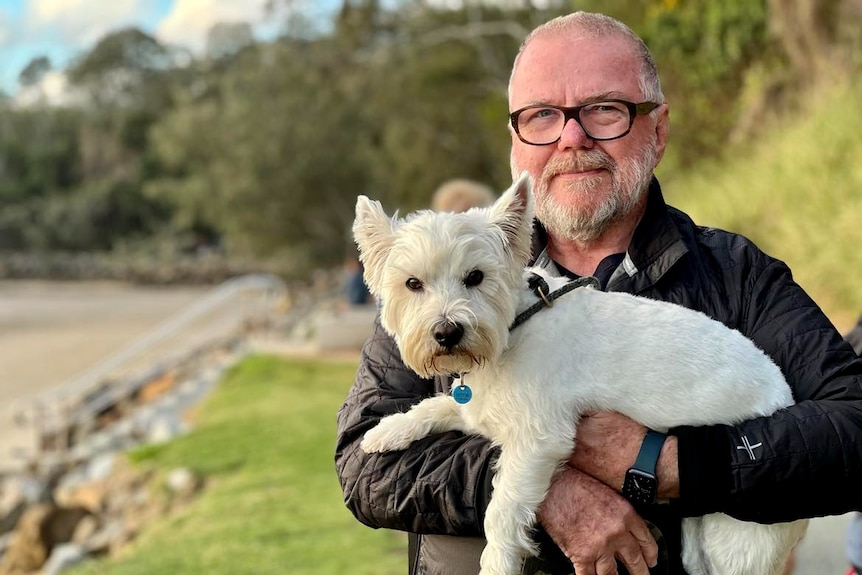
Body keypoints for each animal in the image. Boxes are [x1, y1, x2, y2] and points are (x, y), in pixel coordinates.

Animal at [352, 174, 808, 575]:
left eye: (475, 277)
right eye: (413, 283)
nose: (447, 333)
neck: (515, 326)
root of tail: (783, 394)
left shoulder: (536, 441)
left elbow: (502, 512)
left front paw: (497, 564)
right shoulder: (480, 411)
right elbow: (437, 405)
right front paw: (387, 431)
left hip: (737, 544)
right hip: (701, 542)